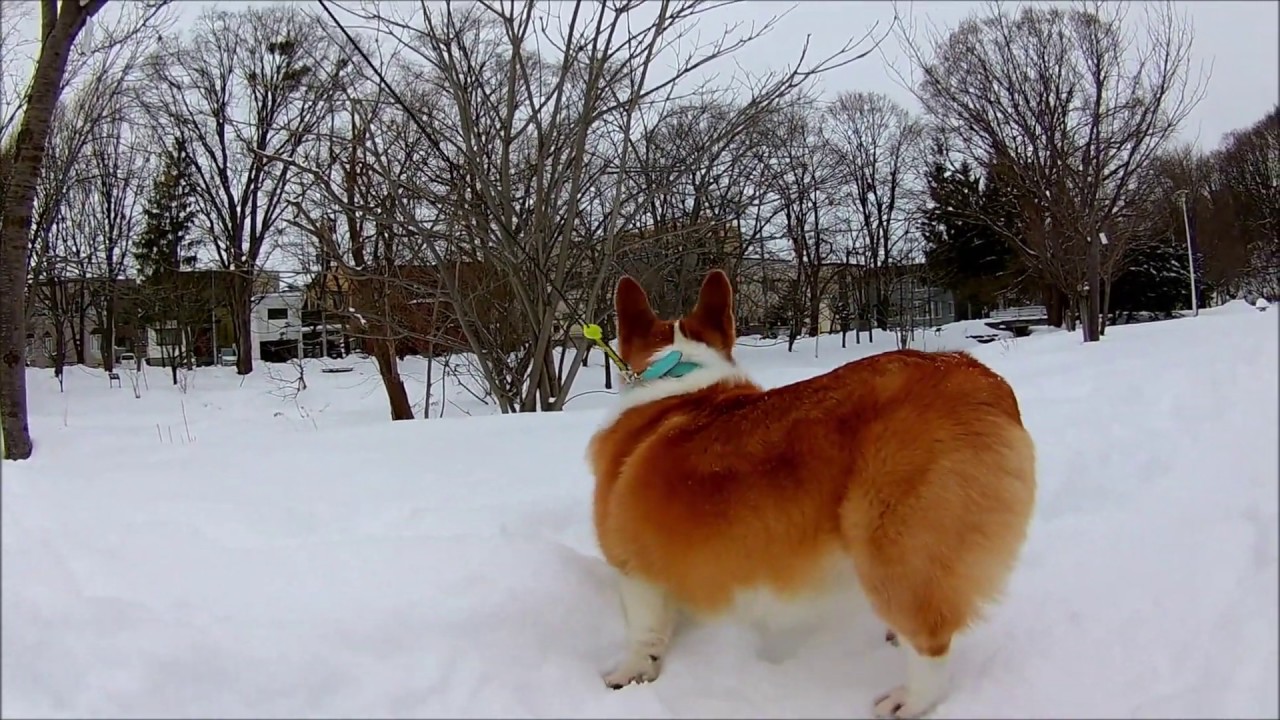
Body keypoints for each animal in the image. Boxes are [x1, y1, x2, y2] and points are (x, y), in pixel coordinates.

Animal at [588, 266, 1039, 712]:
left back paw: (907, 700)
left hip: (894, 546)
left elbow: (642, 633)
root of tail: (985, 383)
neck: (681, 379)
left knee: (931, 643)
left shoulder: (633, 569)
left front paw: (628, 675)